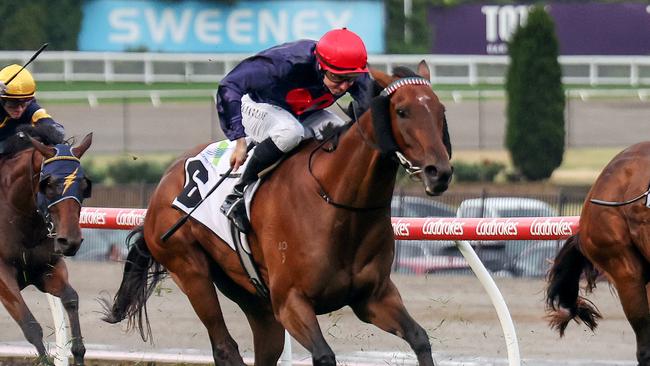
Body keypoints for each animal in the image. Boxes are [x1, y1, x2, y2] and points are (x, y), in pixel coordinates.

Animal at [0, 126, 92, 366]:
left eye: (83, 185)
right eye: (48, 185)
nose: (70, 241)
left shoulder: (47, 268)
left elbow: (71, 299)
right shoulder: (3, 274)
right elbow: (30, 325)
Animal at [102, 61, 450, 364]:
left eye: (440, 111)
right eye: (402, 111)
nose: (439, 173)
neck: (339, 204)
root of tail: (164, 182)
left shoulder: (373, 297)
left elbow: (420, 338)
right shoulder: (291, 303)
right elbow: (325, 355)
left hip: (251, 294)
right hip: (190, 269)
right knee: (224, 346)